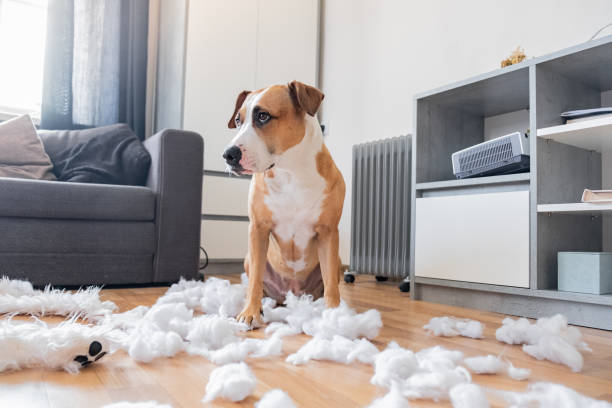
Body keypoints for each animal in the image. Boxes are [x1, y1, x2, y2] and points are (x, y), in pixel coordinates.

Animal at [224, 81, 350, 326]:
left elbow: (331, 282)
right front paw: (250, 312)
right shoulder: (258, 229)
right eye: (238, 120)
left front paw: (333, 316)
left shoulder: (328, 232)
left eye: (263, 116)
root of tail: (291, 294)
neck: (290, 172)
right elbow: (255, 280)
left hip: (338, 260)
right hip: (249, 258)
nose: (228, 154)